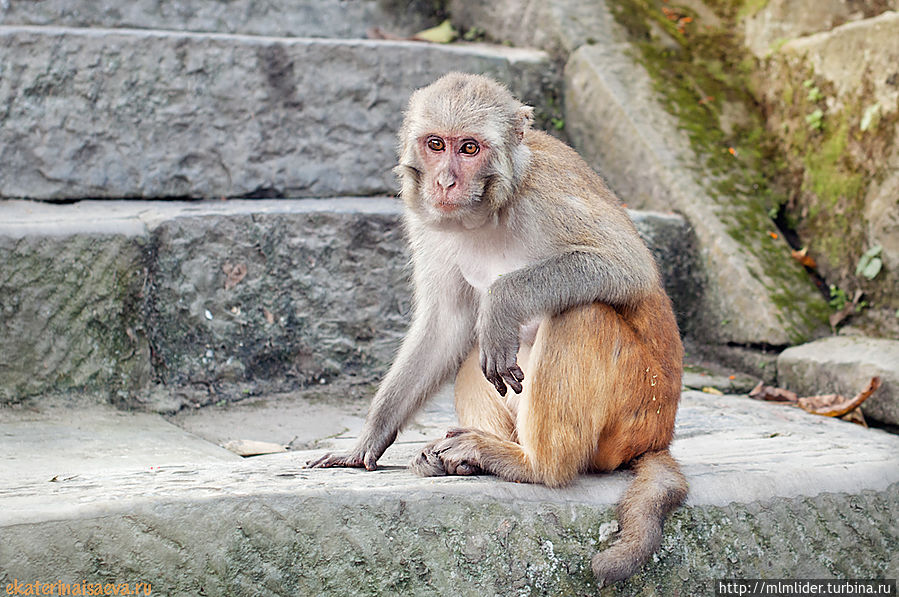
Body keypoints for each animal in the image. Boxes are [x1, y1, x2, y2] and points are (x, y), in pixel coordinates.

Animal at [306, 72, 684, 584]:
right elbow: (445, 326)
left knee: (579, 313)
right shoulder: (429, 225)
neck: (488, 210)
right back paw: (471, 458)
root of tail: (658, 437)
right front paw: (367, 441)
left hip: (634, 411)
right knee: (476, 354)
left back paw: (534, 465)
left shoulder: (549, 197)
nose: (445, 181)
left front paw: (503, 300)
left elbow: (629, 268)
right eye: (436, 144)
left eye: (470, 148)